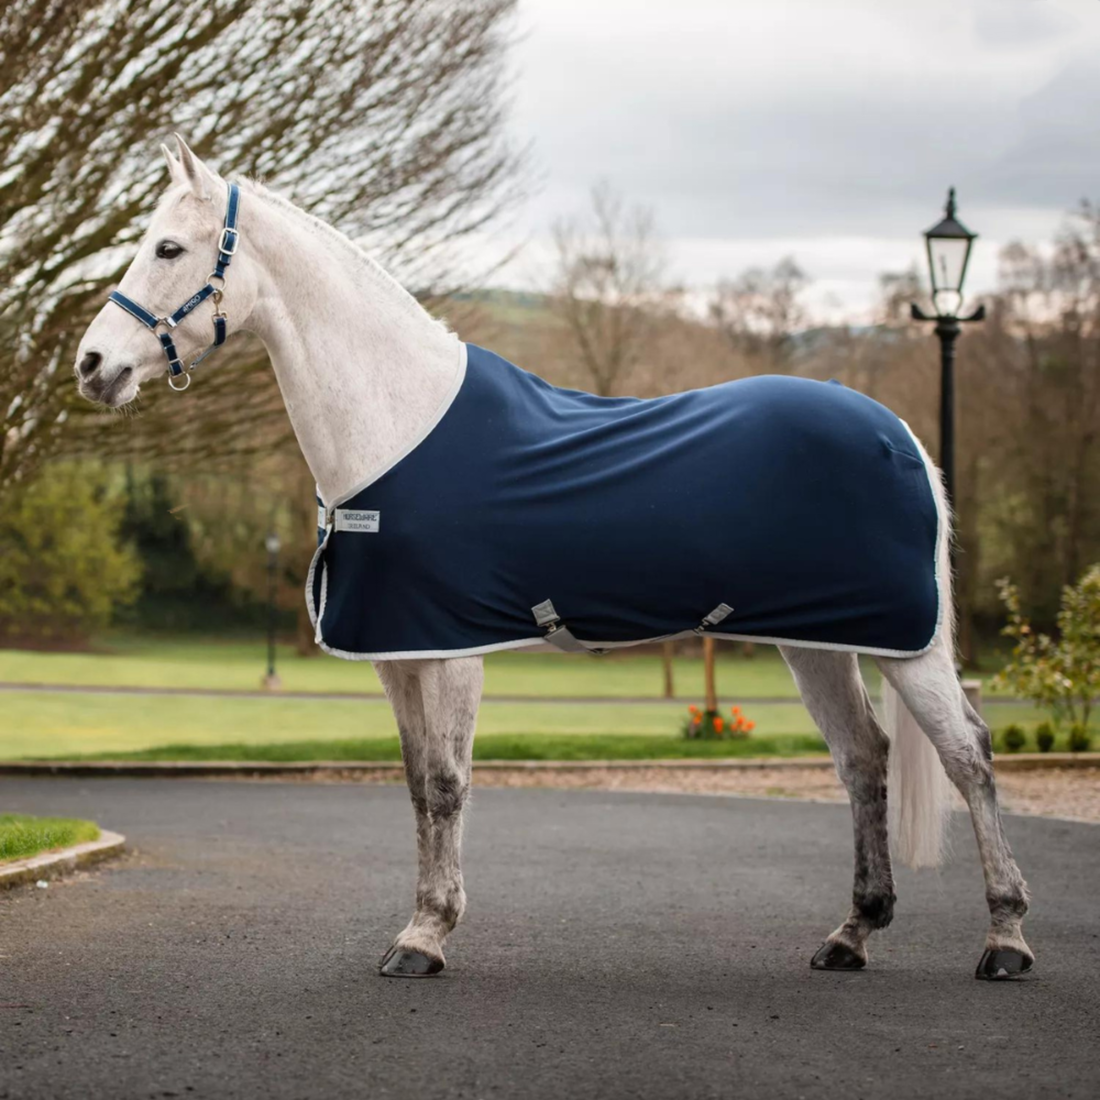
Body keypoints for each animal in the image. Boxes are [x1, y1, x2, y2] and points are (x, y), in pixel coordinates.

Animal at [75, 136, 1032, 981]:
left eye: (168, 247)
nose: (92, 364)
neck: (399, 420)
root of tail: (899, 432)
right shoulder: (398, 653)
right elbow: (416, 786)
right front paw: (418, 924)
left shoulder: (451, 648)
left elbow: (448, 784)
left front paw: (427, 937)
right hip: (819, 644)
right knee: (864, 759)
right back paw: (852, 934)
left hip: (907, 645)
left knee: (969, 756)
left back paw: (1006, 940)